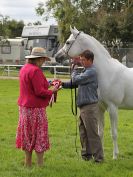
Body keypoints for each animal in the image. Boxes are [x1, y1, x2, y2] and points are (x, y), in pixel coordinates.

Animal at [55, 27, 133, 160]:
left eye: (68, 42)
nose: (56, 57)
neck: (106, 73)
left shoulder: (113, 108)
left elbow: (114, 133)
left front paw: (115, 156)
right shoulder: (100, 107)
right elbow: (99, 132)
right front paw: (101, 155)